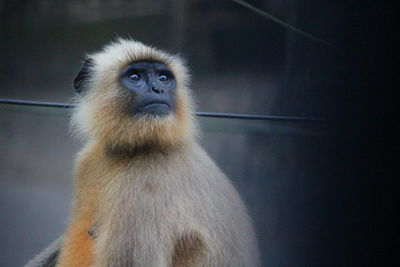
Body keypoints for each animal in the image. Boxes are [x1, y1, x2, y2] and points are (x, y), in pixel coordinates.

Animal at [26, 38, 260, 266]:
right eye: (135, 76)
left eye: (163, 78)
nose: (157, 89)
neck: (139, 148)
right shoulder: (88, 160)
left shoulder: (147, 181)